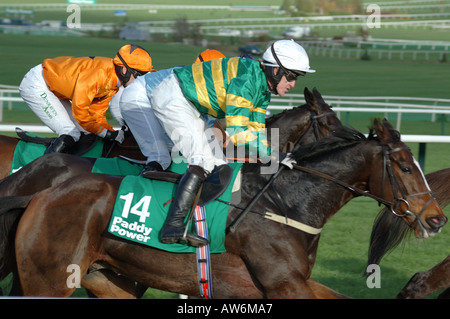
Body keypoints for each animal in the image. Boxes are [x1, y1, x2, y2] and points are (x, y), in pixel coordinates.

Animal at [5, 119, 448, 298]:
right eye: (405, 166)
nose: (436, 218)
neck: (284, 203)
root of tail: (38, 195)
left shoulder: (291, 282)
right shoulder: (283, 284)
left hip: (107, 277)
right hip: (49, 280)